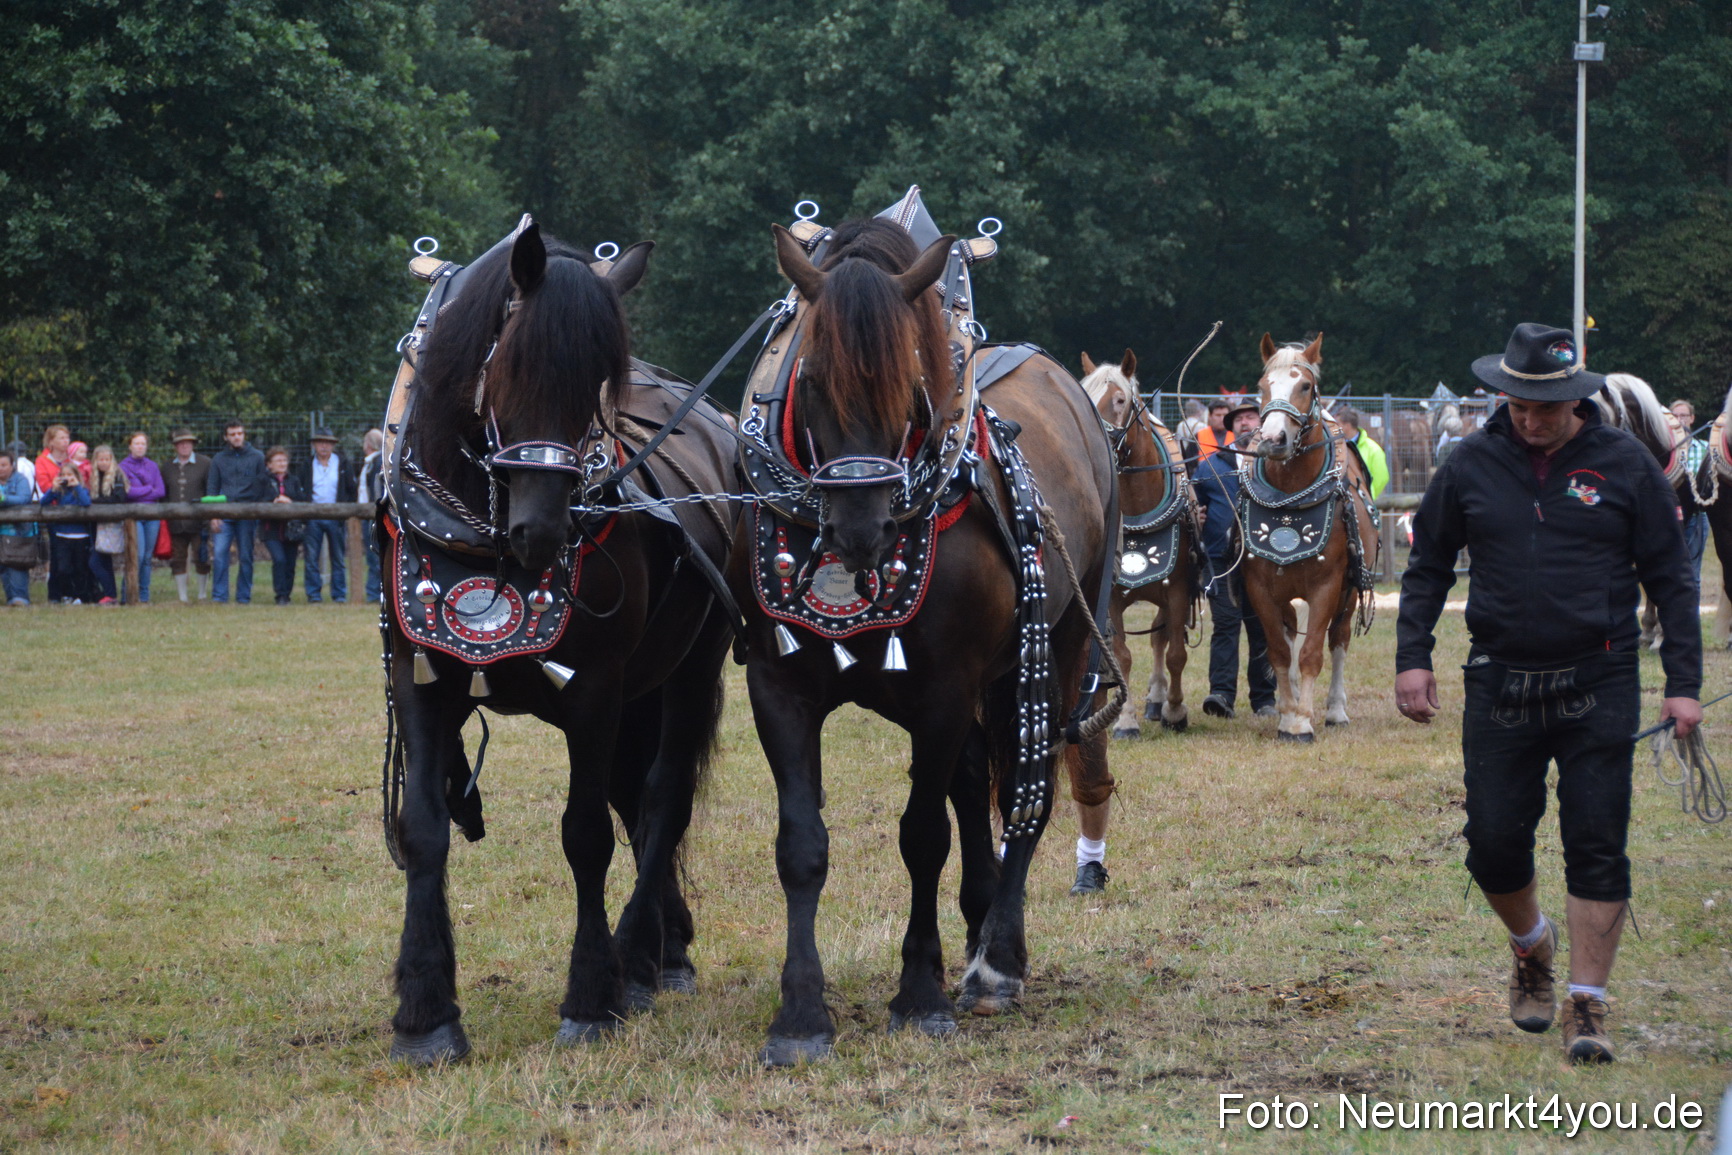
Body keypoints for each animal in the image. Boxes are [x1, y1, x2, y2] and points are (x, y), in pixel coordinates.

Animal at [379, 218, 738, 1063]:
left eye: (600, 382)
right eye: (511, 364)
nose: (541, 529)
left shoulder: (596, 689)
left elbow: (585, 835)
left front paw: (589, 997)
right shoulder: (421, 674)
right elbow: (424, 830)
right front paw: (426, 1012)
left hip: (688, 671)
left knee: (662, 798)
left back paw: (638, 957)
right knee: (635, 797)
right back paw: (668, 947)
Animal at [729, 212, 1116, 1065]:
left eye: (907, 389)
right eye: (812, 381)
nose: (860, 528)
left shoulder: (944, 690)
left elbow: (922, 835)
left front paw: (920, 992)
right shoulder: (779, 686)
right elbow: (801, 842)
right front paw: (800, 1014)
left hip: (1058, 647)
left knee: (1029, 793)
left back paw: (996, 961)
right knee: (977, 787)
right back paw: (977, 932)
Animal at [1079, 349, 1204, 737]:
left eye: (1120, 400)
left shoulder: (1177, 589)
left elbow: (1176, 653)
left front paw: (1175, 711)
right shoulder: (1112, 598)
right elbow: (1122, 656)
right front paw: (1126, 720)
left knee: (1161, 640)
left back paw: (1160, 699)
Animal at [1239, 333, 1378, 741]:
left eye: (1305, 386)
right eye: (1262, 386)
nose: (1273, 438)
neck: (1291, 497)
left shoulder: (1327, 586)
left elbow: (1313, 651)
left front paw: (1303, 720)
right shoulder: (1260, 588)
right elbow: (1280, 652)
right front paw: (1288, 716)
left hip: (1349, 592)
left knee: (1339, 640)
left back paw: (1334, 709)